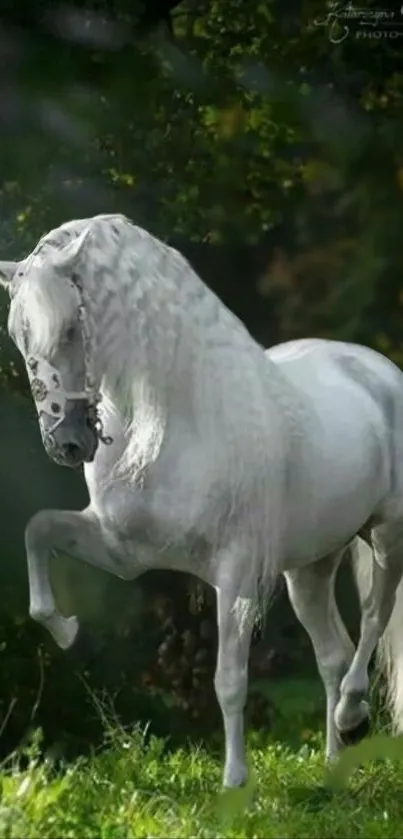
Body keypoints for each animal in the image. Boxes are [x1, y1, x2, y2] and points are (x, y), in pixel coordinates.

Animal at [2, 213, 403, 792]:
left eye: (73, 328)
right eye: (19, 335)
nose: (66, 443)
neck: (169, 423)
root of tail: (379, 370)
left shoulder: (234, 575)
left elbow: (229, 680)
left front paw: (234, 785)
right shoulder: (121, 550)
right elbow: (37, 531)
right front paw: (72, 636)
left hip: (387, 535)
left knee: (373, 617)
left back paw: (353, 714)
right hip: (310, 568)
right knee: (333, 653)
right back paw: (333, 766)